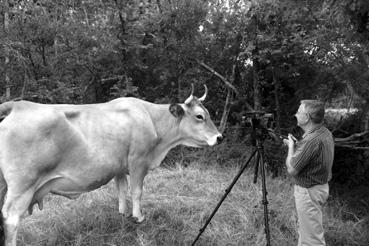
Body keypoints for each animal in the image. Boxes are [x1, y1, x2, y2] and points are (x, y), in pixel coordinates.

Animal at [0, 85, 221, 246]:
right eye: (200, 116)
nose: (219, 137)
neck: (150, 118)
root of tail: (18, 105)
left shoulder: (119, 167)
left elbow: (122, 190)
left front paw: (123, 214)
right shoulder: (138, 161)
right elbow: (137, 191)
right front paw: (138, 217)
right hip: (23, 185)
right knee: (11, 218)